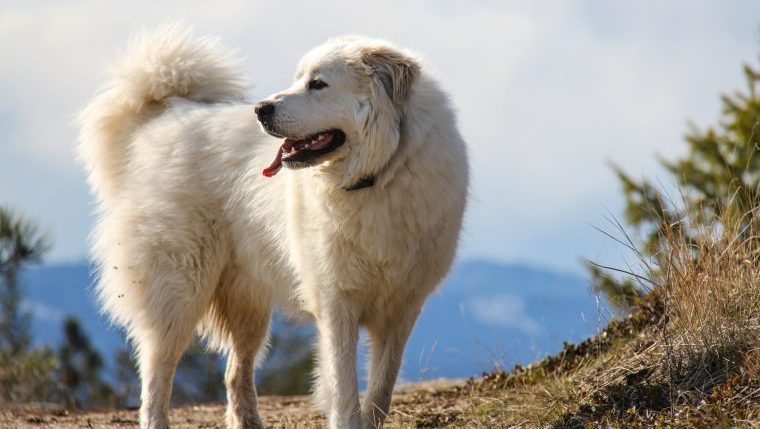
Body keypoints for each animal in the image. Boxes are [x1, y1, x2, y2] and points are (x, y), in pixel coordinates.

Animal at [78, 24, 470, 428]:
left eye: (318, 84)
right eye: (298, 79)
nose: (260, 109)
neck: (378, 175)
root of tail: (166, 116)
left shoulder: (402, 308)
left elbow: (381, 388)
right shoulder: (336, 302)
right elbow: (343, 385)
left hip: (248, 305)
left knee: (235, 372)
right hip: (179, 288)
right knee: (157, 373)